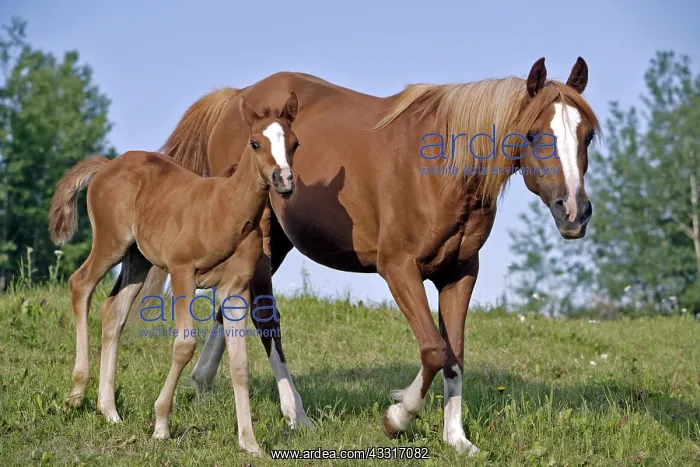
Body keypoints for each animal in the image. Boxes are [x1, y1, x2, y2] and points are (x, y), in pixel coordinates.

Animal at [48, 91, 300, 455]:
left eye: (294, 143)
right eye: (255, 143)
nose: (283, 180)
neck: (226, 210)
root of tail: (107, 164)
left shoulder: (235, 289)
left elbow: (239, 364)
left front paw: (249, 442)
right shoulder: (183, 273)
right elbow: (184, 345)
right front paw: (161, 424)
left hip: (138, 259)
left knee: (114, 311)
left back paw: (109, 410)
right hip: (112, 243)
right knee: (79, 284)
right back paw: (77, 394)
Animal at [138, 57, 600, 455]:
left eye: (587, 135)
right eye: (533, 135)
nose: (574, 211)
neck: (442, 171)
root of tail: (236, 97)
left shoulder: (460, 273)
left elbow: (455, 356)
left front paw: (456, 437)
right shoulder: (398, 268)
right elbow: (434, 350)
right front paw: (398, 416)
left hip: (269, 242)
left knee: (235, 304)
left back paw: (204, 380)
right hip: (261, 237)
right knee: (265, 318)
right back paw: (295, 414)